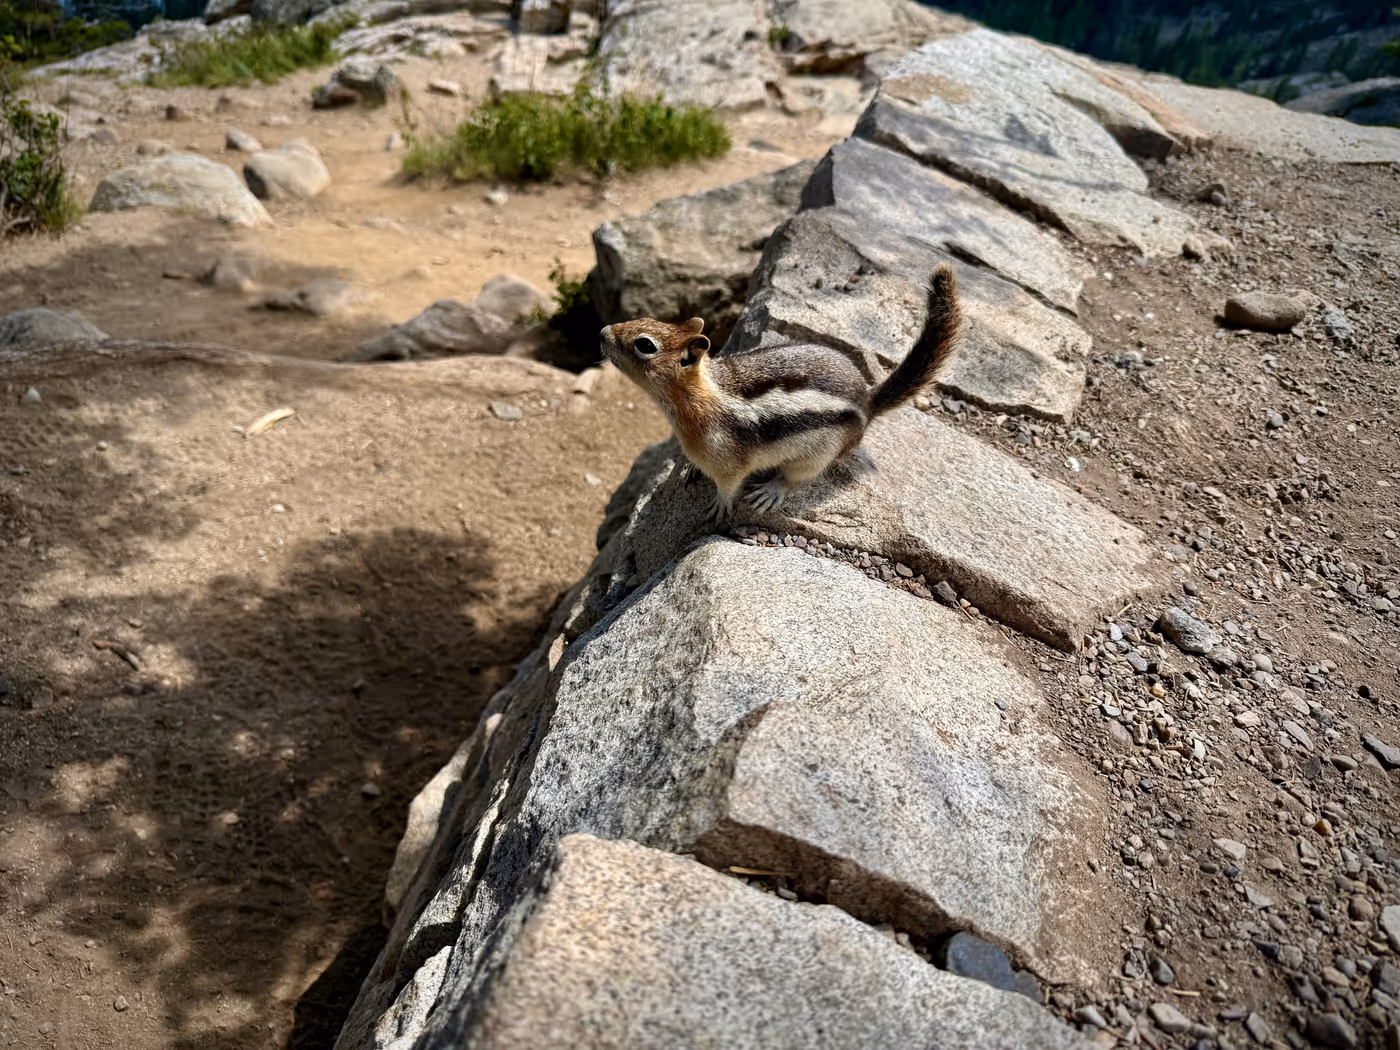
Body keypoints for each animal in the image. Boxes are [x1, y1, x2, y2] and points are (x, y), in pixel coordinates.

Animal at [598, 264, 963, 521]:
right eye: (646, 318)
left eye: (645, 345)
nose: (602, 332)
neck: (699, 397)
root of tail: (867, 403)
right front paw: (691, 469)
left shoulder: (729, 463)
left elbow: (729, 486)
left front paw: (719, 505)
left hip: (817, 455)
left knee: (797, 479)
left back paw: (772, 490)